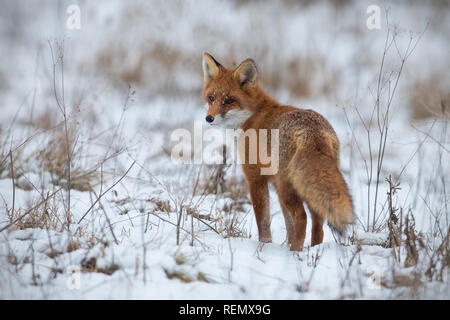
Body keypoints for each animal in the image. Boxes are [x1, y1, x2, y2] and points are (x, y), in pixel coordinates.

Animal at [202, 53, 354, 251]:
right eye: (211, 98)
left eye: (229, 100)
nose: (209, 118)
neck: (251, 117)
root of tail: (312, 131)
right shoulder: (273, 181)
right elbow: (288, 225)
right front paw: (283, 245)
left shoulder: (255, 177)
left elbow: (263, 220)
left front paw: (264, 246)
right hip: (299, 186)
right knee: (318, 225)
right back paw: (313, 250)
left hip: (287, 187)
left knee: (302, 218)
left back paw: (296, 253)